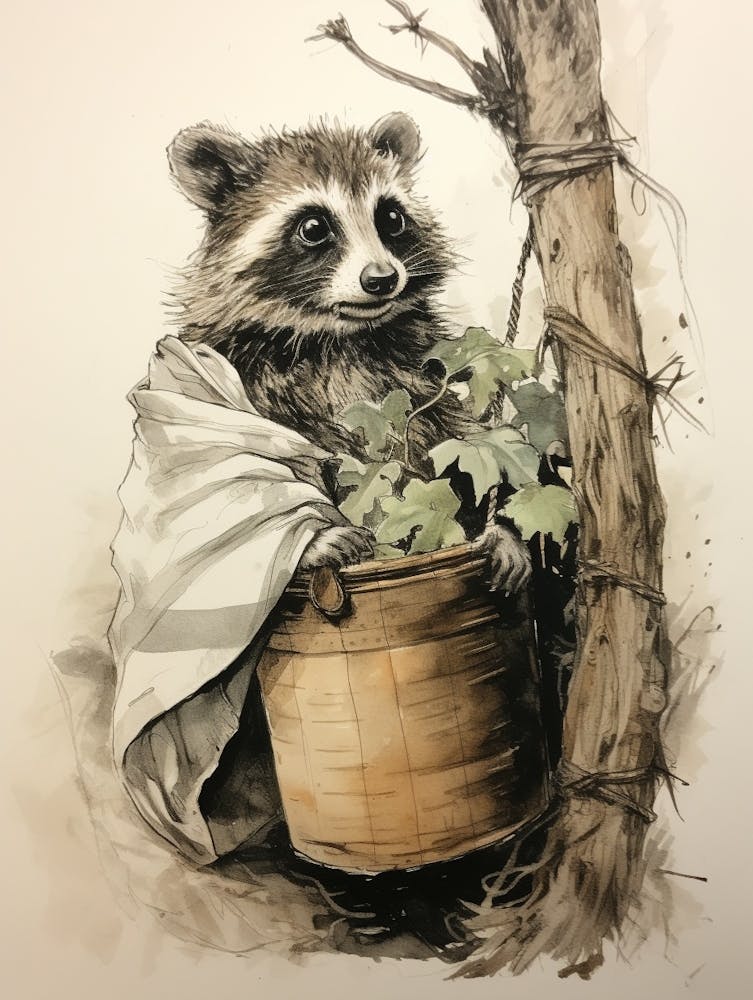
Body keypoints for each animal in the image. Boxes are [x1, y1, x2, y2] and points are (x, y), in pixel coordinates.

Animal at [167, 113, 530, 590]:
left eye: (391, 217)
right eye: (314, 227)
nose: (382, 279)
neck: (339, 336)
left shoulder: (417, 368)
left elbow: (453, 436)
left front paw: (499, 526)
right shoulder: (235, 371)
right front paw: (313, 542)